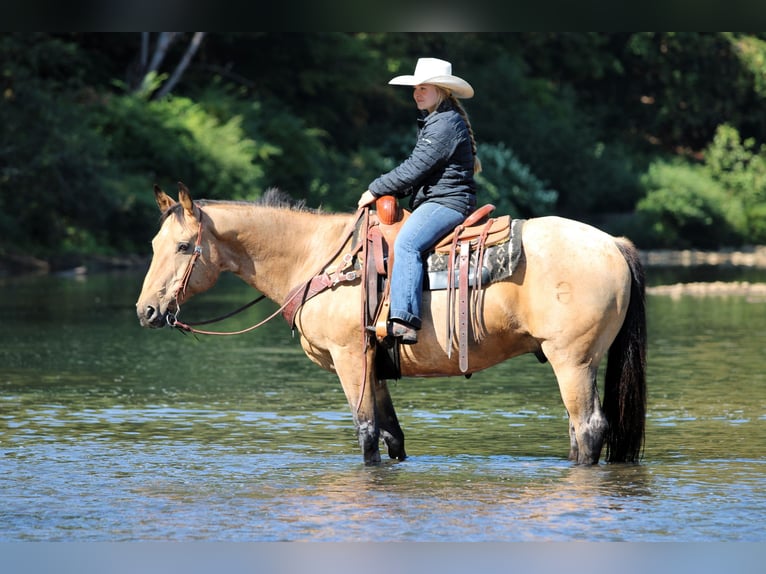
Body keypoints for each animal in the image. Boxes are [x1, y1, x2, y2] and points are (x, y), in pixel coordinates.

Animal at [136, 182, 647, 466]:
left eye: (184, 246)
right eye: (154, 242)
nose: (146, 311)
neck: (320, 259)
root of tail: (613, 243)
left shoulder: (349, 359)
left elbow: (366, 434)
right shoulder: (374, 363)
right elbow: (391, 435)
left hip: (572, 361)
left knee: (588, 429)